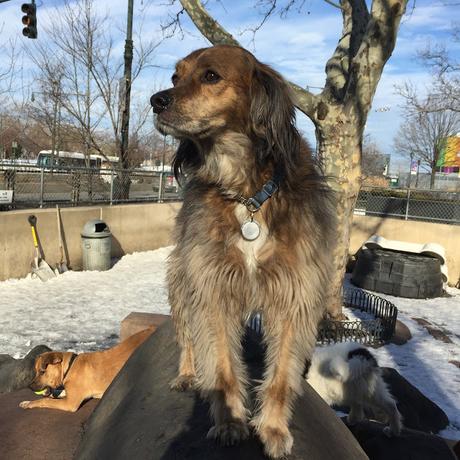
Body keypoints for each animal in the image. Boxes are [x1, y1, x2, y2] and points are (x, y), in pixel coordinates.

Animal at [153, 45, 336, 456]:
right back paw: (187, 373)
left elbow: (281, 376)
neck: (246, 193)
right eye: (175, 77)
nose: (156, 100)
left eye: (211, 76)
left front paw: (272, 428)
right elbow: (221, 366)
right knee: (187, 337)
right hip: (181, 279)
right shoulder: (212, 289)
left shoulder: (294, 295)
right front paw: (231, 423)